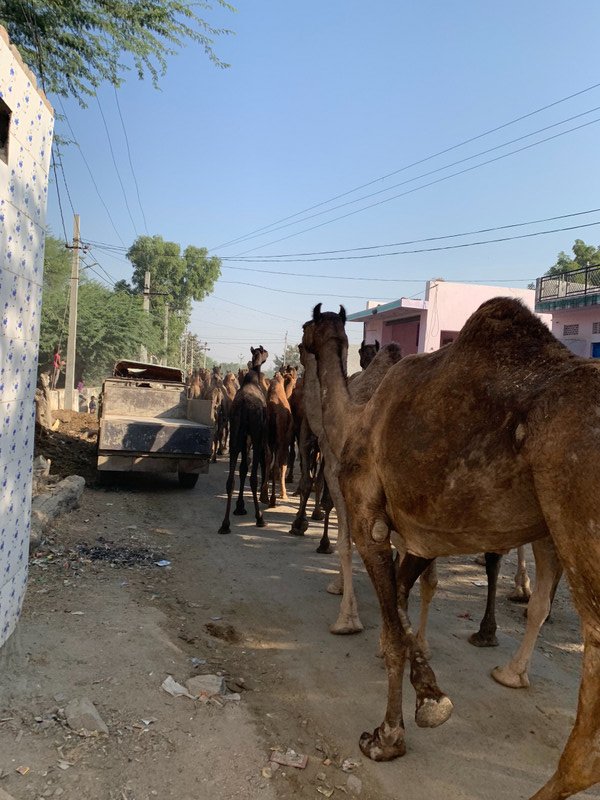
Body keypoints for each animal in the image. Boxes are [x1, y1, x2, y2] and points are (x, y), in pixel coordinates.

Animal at [218, 346, 270, 536]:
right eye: (264, 351)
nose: (266, 354)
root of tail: (244, 407)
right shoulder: (257, 433)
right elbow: (249, 468)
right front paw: (242, 507)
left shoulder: (243, 436)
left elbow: (242, 468)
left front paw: (239, 507)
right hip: (255, 433)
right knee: (253, 477)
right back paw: (260, 518)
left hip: (235, 432)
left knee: (230, 480)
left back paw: (225, 524)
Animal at [304, 300, 600, 800]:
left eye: (307, 328)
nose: (301, 345)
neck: (355, 422)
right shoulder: (427, 531)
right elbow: (403, 609)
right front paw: (430, 696)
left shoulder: (368, 517)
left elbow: (393, 626)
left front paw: (387, 738)